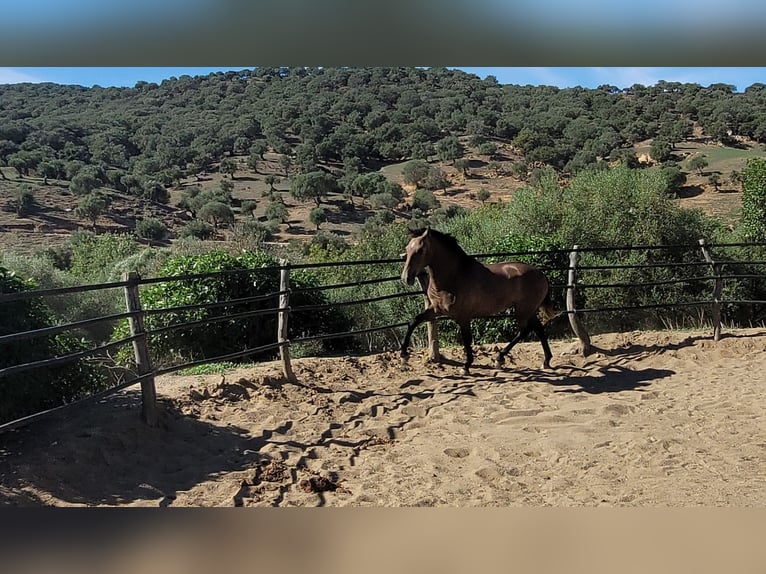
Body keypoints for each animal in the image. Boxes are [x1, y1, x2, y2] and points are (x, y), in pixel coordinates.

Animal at [400, 227, 556, 376]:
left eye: (420, 250)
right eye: (407, 249)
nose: (406, 278)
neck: (454, 277)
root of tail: (541, 274)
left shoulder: (463, 317)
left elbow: (466, 340)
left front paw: (466, 366)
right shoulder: (436, 310)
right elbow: (414, 321)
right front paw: (404, 355)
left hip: (523, 310)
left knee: (525, 330)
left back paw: (499, 358)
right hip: (528, 310)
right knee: (538, 329)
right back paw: (545, 361)